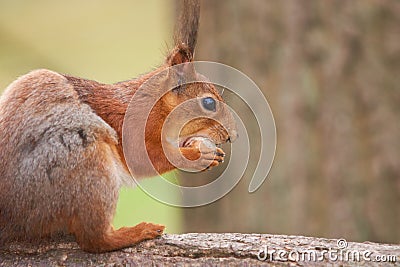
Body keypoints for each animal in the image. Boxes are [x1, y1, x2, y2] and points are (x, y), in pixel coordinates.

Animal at [0, 0, 238, 253]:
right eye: (209, 103)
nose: (232, 135)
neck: (153, 106)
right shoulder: (132, 130)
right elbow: (149, 159)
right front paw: (199, 154)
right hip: (87, 163)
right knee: (94, 239)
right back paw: (137, 232)